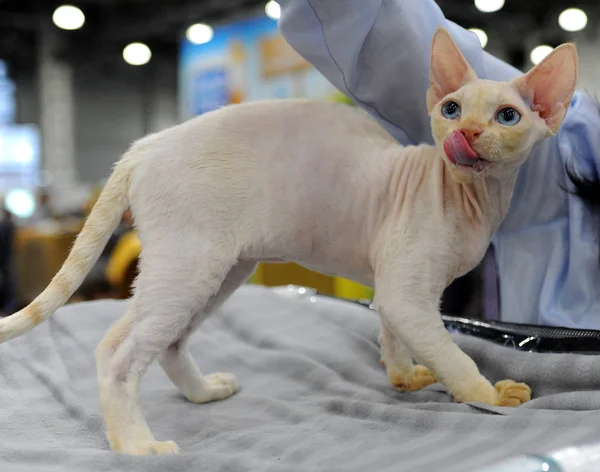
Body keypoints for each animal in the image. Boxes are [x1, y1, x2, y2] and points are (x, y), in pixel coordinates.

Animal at [0, 28, 576, 454]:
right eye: (452, 109)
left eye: (507, 116)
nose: (469, 133)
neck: (470, 196)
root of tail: (145, 144)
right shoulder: (406, 293)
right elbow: (451, 353)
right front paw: (489, 394)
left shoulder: (393, 286)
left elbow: (394, 335)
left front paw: (404, 377)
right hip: (192, 264)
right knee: (122, 355)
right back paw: (136, 447)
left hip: (215, 269)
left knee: (146, 343)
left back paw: (202, 394)